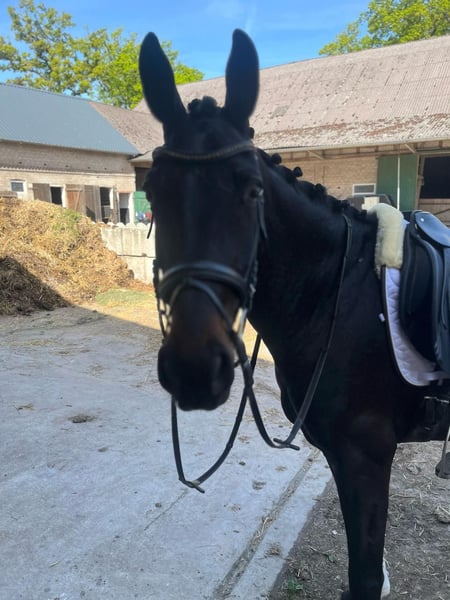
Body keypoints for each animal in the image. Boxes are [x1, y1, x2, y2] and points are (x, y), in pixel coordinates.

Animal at [138, 30, 450, 599]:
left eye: (253, 189)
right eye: (153, 191)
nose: (194, 369)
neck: (339, 296)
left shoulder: (367, 455)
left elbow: (365, 577)